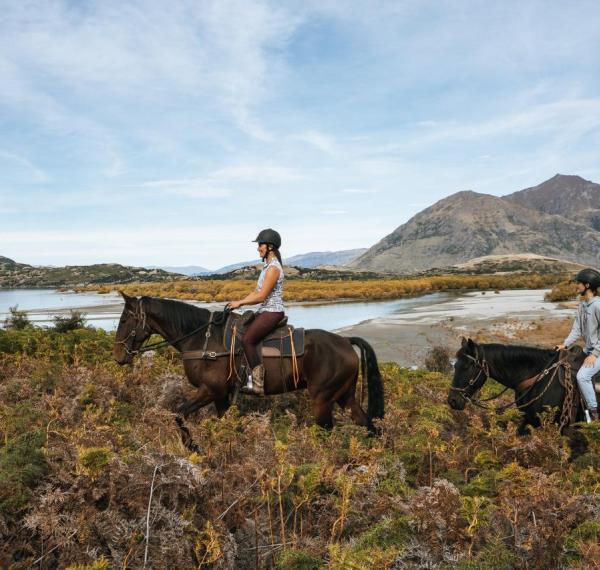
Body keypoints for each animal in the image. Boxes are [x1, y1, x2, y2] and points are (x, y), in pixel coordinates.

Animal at [112, 290, 384, 438]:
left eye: (125, 319)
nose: (118, 355)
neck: (201, 339)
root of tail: (346, 341)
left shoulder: (210, 391)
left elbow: (178, 415)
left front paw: (192, 446)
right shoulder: (220, 396)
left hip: (323, 400)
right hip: (344, 396)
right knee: (368, 426)